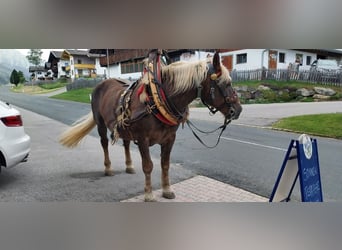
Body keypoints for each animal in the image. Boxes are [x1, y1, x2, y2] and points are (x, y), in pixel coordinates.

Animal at [59, 51, 240, 202]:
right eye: (226, 83)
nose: (238, 110)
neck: (157, 99)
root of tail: (101, 85)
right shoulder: (143, 139)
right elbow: (148, 166)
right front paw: (149, 194)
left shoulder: (169, 139)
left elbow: (165, 164)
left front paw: (167, 190)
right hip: (100, 123)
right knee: (104, 143)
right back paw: (108, 168)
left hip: (124, 127)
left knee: (125, 143)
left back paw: (129, 166)